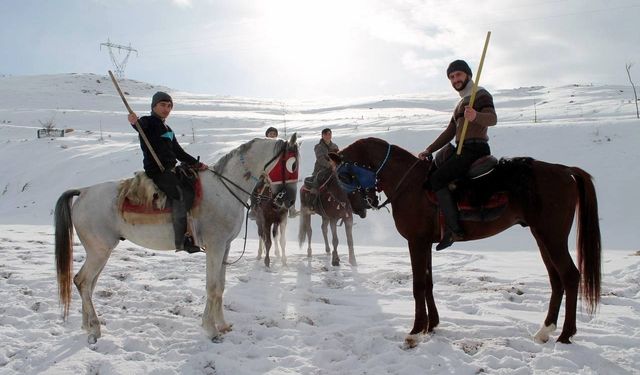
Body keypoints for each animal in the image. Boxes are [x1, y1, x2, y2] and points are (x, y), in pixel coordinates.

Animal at [53, 135, 298, 344]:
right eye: (292, 165)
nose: (289, 200)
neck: (225, 189)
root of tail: (84, 191)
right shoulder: (215, 247)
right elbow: (212, 287)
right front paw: (211, 330)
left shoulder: (225, 247)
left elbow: (220, 287)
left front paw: (222, 325)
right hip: (99, 251)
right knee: (83, 282)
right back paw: (94, 329)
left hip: (100, 252)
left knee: (87, 284)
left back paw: (87, 326)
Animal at [330, 138, 600, 350]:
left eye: (344, 175)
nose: (357, 208)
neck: (409, 183)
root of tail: (564, 170)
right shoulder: (425, 243)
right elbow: (428, 283)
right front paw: (431, 325)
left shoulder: (416, 242)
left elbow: (418, 285)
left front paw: (415, 332)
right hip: (542, 237)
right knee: (556, 280)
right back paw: (545, 331)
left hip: (552, 237)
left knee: (570, 276)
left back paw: (565, 335)